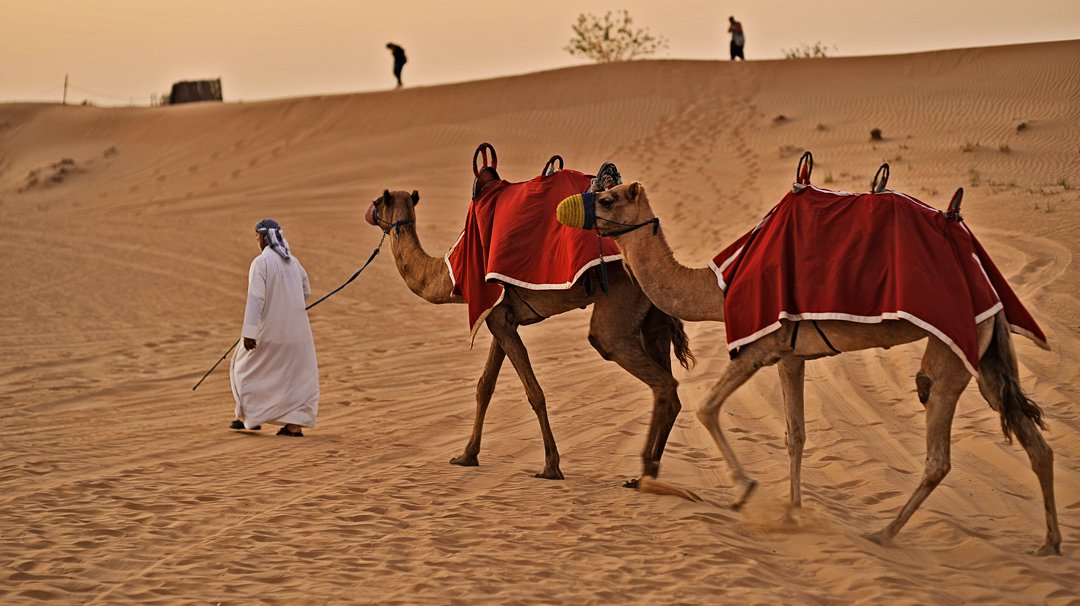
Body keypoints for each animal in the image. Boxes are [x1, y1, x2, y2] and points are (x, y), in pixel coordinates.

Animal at [363, 187, 693, 483]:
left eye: (378, 201)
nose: (369, 211)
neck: (447, 273)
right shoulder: (500, 316)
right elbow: (485, 386)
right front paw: (467, 455)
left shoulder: (498, 318)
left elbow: (534, 392)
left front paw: (551, 467)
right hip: (653, 318)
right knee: (671, 390)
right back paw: (649, 473)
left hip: (621, 304)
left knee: (652, 375)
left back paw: (644, 471)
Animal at [556, 181, 1061, 556]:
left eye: (606, 197)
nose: (565, 212)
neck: (718, 290)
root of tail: (986, 285)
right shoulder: (790, 353)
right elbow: (795, 435)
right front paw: (793, 512)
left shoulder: (758, 347)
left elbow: (707, 408)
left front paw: (746, 490)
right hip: (988, 351)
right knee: (1033, 439)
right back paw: (1050, 544)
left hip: (952, 348)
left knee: (939, 451)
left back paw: (883, 533)